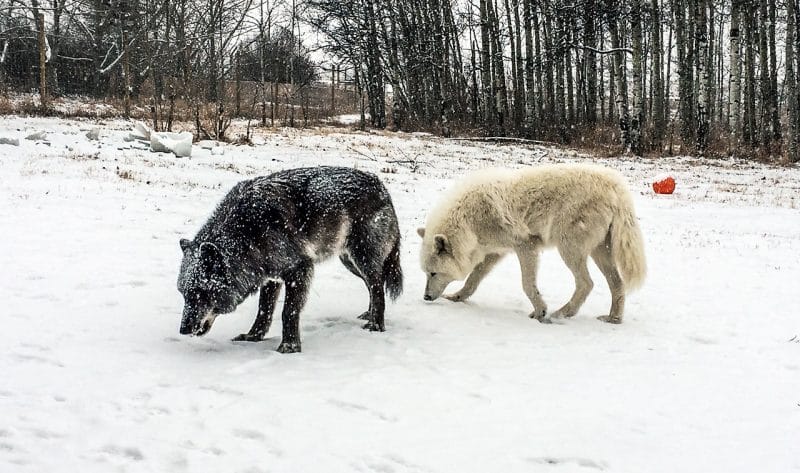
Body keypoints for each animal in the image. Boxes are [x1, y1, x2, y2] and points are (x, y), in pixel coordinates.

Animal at [175, 164, 400, 352]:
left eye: (201, 293)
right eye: (183, 294)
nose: (183, 330)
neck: (246, 232)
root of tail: (381, 186)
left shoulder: (299, 269)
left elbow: (288, 311)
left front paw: (290, 346)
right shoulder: (270, 276)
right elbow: (264, 310)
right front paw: (253, 336)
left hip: (361, 258)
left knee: (377, 285)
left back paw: (376, 325)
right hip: (350, 262)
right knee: (374, 284)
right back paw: (369, 314)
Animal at [416, 163, 648, 324]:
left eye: (433, 273)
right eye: (426, 273)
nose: (426, 297)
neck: (468, 221)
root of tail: (616, 186)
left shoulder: (526, 246)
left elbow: (527, 285)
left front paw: (540, 311)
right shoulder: (495, 253)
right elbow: (472, 280)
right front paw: (456, 297)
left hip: (569, 249)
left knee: (586, 283)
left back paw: (560, 314)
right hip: (599, 252)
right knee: (617, 284)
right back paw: (613, 319)